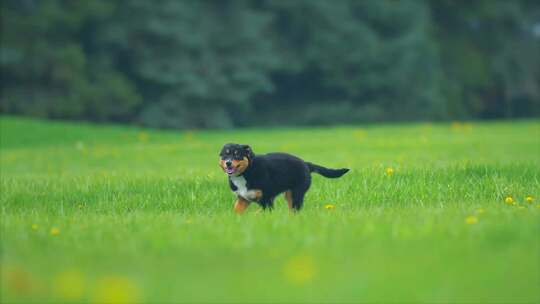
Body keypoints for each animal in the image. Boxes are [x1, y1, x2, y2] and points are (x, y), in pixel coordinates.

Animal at [219, 143, 350, 213]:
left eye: (237, 154)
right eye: (225, 154)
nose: (228, 163)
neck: (246, 172)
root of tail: (306, 163)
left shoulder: (267, 199)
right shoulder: (242, 199)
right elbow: (236, 211)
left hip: (296, 195)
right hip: (289, 195)